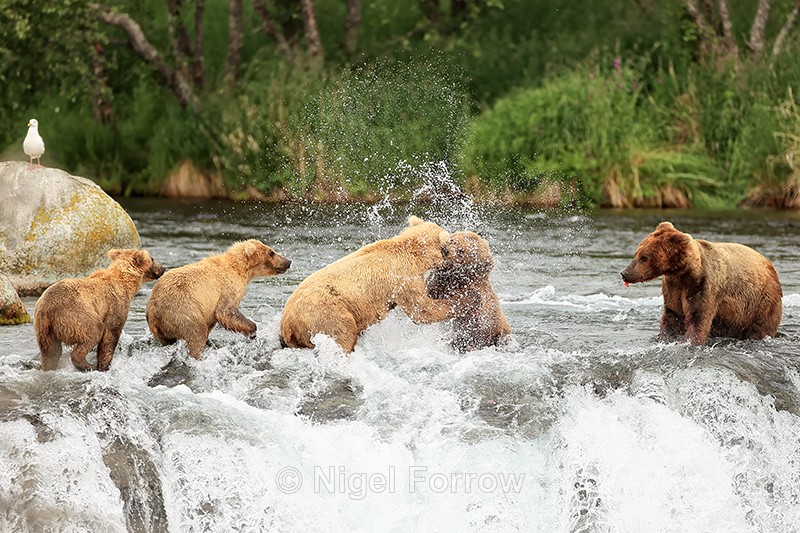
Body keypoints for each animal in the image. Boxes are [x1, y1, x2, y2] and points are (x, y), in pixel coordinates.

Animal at [34, 249, 165, 371]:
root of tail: (46, 310)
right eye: (152, 259)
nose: (163, 268)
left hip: (45, 330)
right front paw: (104, 365)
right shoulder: (114, 305)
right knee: (93, 332)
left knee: (51, 352)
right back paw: (87, 365)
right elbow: (110, 334)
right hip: (74, 314)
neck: (125, 284)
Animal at [146, 239, 291, 358]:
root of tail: (154, 312)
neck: (241, 269)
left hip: (163, 328)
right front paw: (252, 330)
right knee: (196, 334)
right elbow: (226, 311)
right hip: (182, 311)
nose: (288, 261)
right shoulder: (227, 287)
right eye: (271, 252)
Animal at [279, 216, 460, 353]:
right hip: (325, 313)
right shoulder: (403, 278)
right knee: (343, 333)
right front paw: (454, 303)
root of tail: (287, 323)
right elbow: (422, 310)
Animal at [620, 221, 782, 345]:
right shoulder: (673, 288)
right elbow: (672, 315)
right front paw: (666, 338)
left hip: (761, 301)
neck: (682, 273)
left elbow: (698, 317)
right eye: (637, 253)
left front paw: (693, 341)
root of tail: (771, 267)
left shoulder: (702, 286)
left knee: (760, 327)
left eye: (644, 257)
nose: (624, 273)